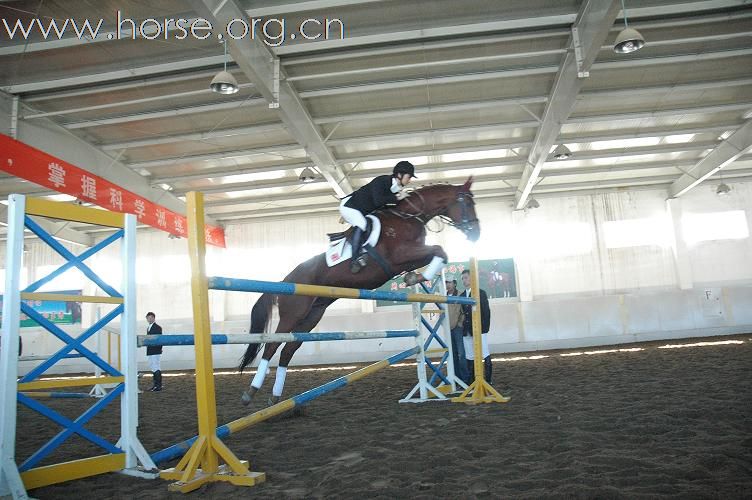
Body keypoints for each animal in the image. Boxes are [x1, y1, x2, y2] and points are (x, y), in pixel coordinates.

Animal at [238, 177, 478, 406]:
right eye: (467, 203)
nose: (476, 234)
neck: (408, 217)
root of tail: (285, 280)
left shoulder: (411, 258)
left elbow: (439, 254)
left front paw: (414, 278)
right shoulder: (400, 255)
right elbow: (439, 250)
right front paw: (416, 277)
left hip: (313, 315)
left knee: (288, 350)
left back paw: (275, 396)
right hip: (294, 313)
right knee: (272, 346)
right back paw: (250, 392)